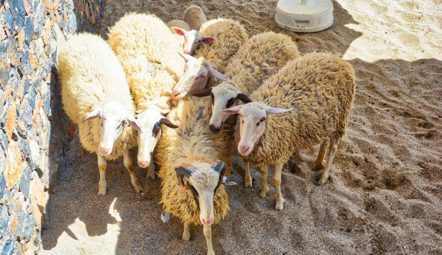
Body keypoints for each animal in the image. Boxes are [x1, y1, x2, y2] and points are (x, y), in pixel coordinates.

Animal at [57, 31, 143, 195]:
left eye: (121, 124)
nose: (104, 149)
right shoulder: (95, 141)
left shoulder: (124, 141)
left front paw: (136, 184)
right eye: (101, 121)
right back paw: (79, 149)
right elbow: (102, 166)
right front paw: (102, 187)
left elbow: (129, 164)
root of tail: (82, 35)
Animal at [107, 12, 181, 176]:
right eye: (137, 129)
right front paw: (151, 169)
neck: (152, 98)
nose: (142, 162)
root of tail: (134, 15)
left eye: (156, 129)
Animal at [157, 95, 237, 255]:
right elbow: (186, 217)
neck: (194, 156)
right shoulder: (184, 199)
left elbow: (207, 232)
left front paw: (210, 250)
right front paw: (186, 234)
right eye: (193, 189)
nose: (207, 219)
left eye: (216, 187)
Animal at [224, 51, 356, 209]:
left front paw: (279, 202)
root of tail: (335, 57)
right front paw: (263, 191)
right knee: (325, 140)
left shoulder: (281, 151)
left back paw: (323, 176)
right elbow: (263, 172)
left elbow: (276, 180)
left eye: (261, 120)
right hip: (326, 121)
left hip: (341, 119)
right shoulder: (266, 151)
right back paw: (318, 163)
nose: (243, 148)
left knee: (333, 148)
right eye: (241, 118)